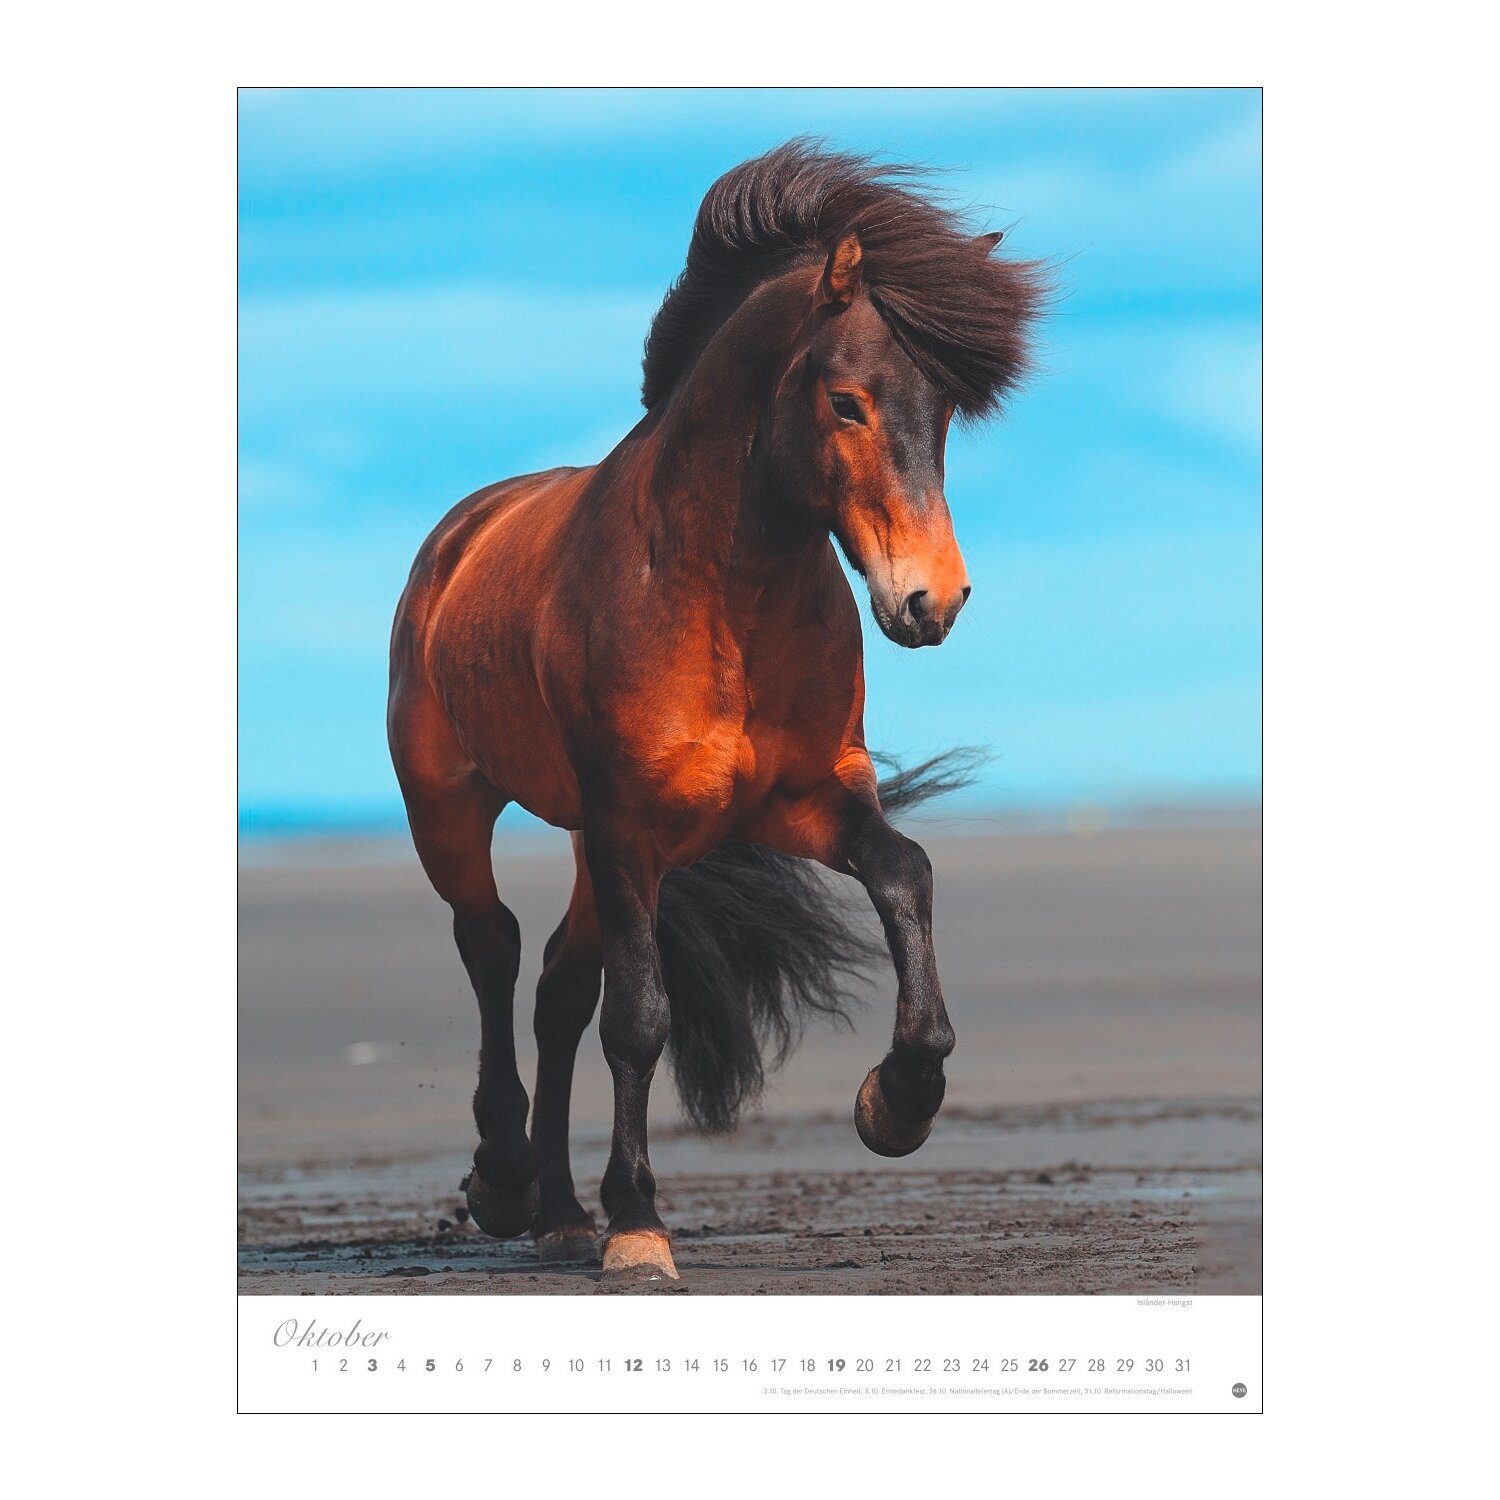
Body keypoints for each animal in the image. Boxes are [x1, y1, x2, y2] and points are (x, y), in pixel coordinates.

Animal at [387, 141, 1045, 1282]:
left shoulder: (803, 802)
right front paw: (640, 1227)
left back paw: (559, 1212)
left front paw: (898, 1102)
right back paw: (508, 1181)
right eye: (847, 402)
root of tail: (459, 533)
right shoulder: (629, 827)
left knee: (556, 987)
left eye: (944, 413)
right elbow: (638, 1019)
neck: (723, 594)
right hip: (453, 809)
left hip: (590, 850)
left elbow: (906, 875)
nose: (935, 599)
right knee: (494, 947)